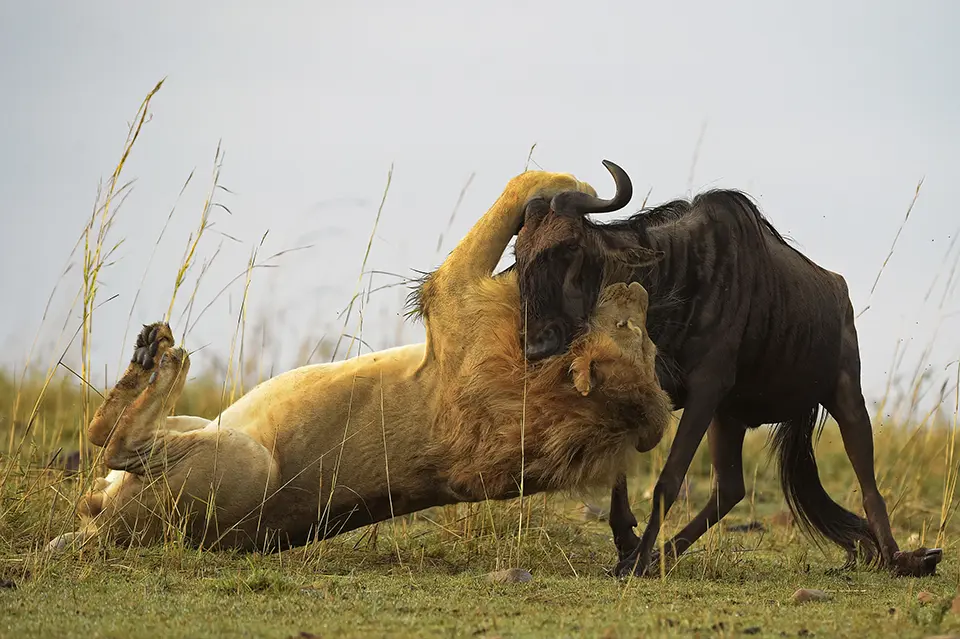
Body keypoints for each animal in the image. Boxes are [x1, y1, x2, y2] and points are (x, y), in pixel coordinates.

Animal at [48, 164, 671, 553]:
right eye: (642, 340)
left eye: (630, 330)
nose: (638, 291)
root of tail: (106, 534)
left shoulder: (453, 294)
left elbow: (526, 182)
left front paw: (573, 185)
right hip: (201, 424)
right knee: (103, 440)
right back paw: (148, 356)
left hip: (244, 461)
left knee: (117, 444)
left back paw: (164, 358)